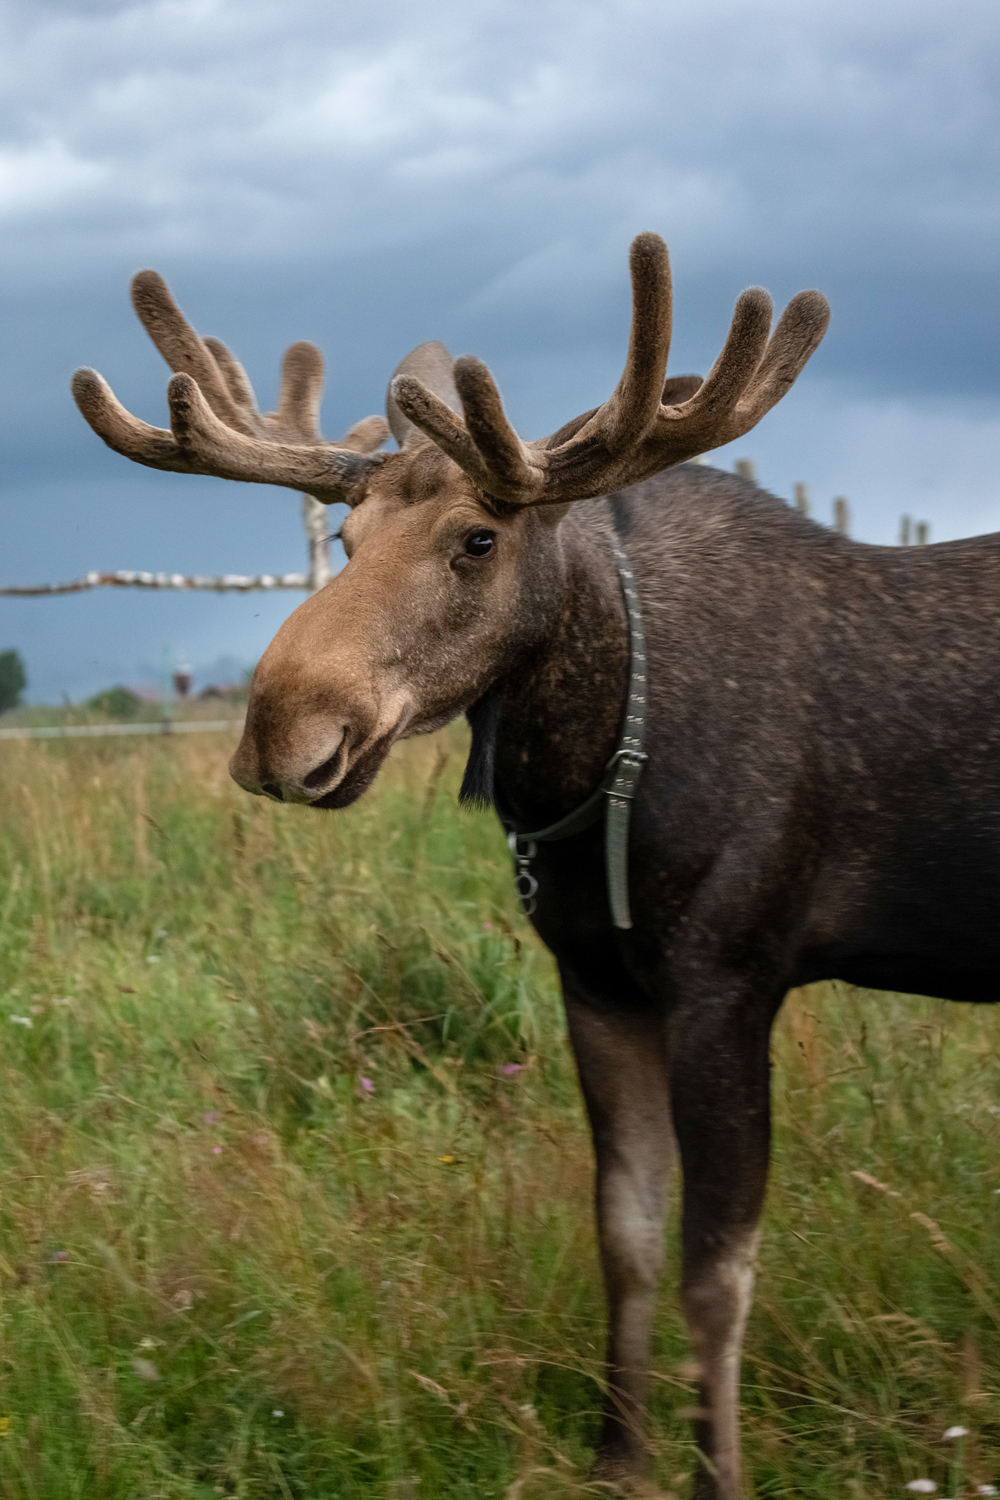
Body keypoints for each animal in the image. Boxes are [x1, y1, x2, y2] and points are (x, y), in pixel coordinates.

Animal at [72, 232, 1000, 1497]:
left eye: (479, 538)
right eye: (345, 542)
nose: (279, 731)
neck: (591, 768)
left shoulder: (728, 981)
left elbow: (718, 1274)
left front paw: (715, 1475)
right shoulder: (595, 983)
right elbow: (625, 1236)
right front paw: (618, 1455)